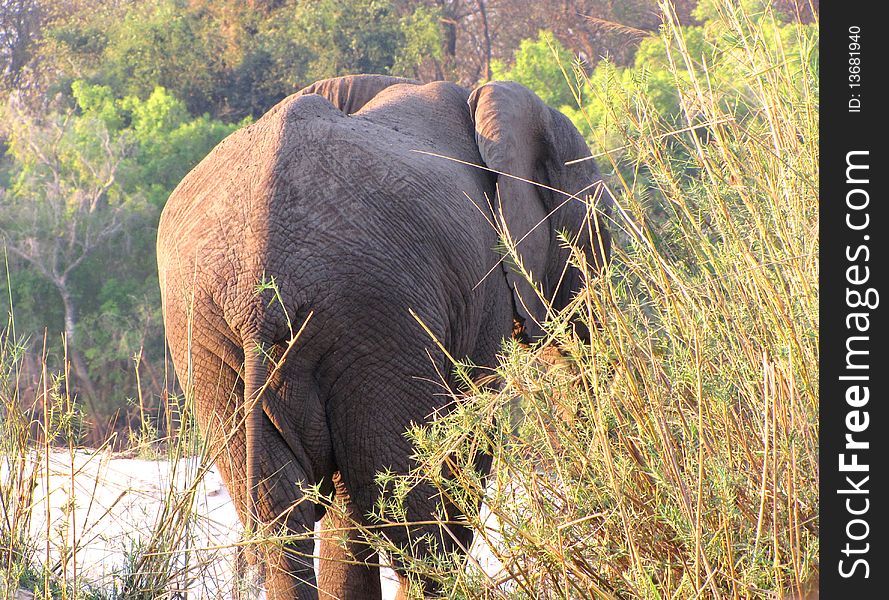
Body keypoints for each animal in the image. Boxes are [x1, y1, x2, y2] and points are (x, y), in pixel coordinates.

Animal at [156, 72, 612, 596]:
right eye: (596, 230)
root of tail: (260, 287)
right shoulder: (478, 292)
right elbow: (467, 438)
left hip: (209, 334)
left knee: (289, 519)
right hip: (374, 315)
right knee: (402, 517)